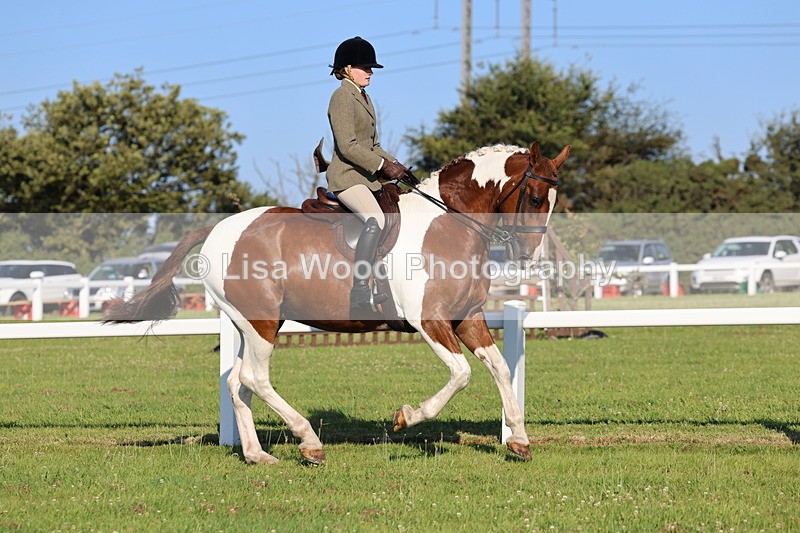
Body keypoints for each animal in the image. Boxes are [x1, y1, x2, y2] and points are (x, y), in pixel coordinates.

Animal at [106, 141, 570, 464]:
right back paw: (309, 444)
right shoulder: (429, 321)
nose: (527, 258)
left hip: (249, 323)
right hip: (262, 322)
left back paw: (258, 455)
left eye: (552, 202)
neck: (448, 223)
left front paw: (519, 440)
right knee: (256, 378)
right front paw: (406, 416)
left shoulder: (467, 318)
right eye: (533, 199)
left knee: (238, 383)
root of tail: (220, 228)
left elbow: (501, 368)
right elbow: (460, 374)